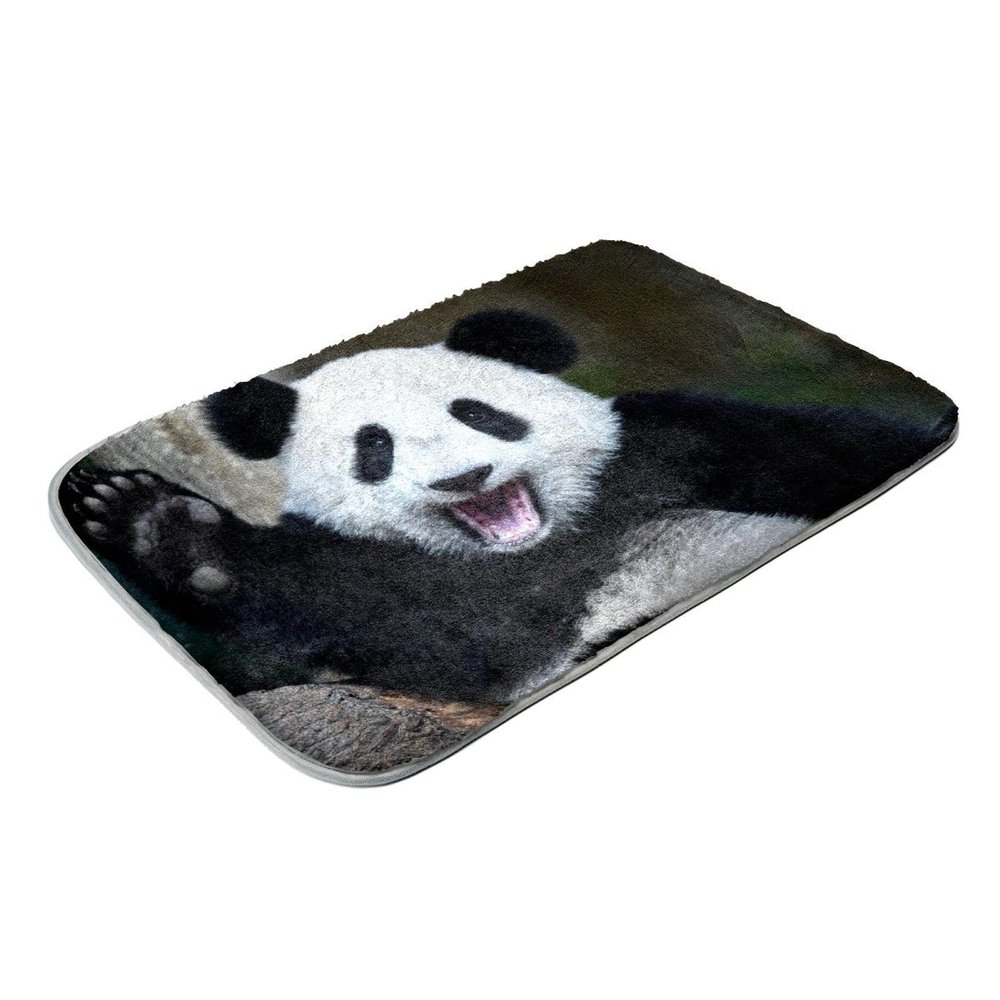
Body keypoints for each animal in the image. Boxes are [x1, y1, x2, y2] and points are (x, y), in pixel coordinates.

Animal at [60, 310, 954, 705]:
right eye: (375, 449)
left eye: (478, 413)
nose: (467, 478)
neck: (545, 543)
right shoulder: (418, 594)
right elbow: (408, 634)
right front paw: (157, 528)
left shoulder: (678, 442)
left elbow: (823, 447)